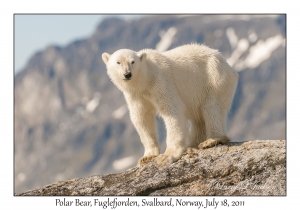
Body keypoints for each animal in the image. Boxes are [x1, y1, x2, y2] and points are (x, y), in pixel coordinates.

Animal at [102, 43, 238, 167]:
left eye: (133, 62)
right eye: (118, 62)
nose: (127, 74)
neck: (145, 80)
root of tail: (227, 65)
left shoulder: (160, 83)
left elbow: (172, 110)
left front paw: (166, 156)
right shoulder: (136, 96)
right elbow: (142, 118)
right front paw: (147, 157)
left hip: (214, 79)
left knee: (212, 108)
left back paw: (211, 140)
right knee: (199, 118)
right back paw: (192, 145)